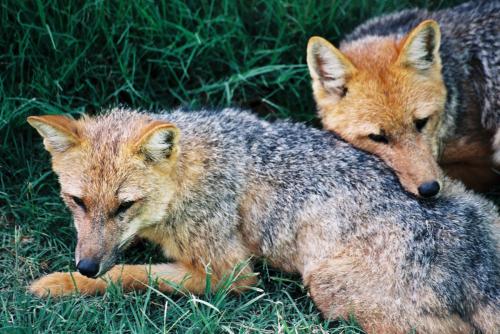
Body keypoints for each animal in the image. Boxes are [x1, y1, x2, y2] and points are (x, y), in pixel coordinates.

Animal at [28, 108, 500, 332]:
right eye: (77, 201)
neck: (189, 173)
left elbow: (131, 274)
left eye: (124, 206)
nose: (86, 265)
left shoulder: (229, 273)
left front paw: (66, 284)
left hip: (327, 286)